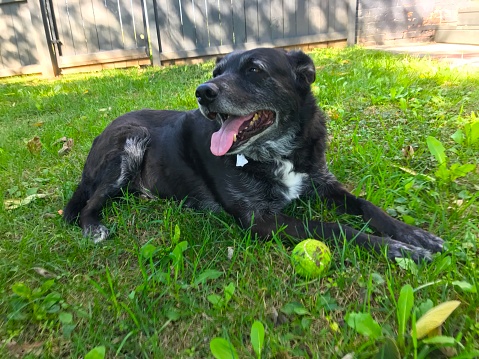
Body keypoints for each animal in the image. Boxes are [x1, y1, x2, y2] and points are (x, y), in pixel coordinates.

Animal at [62, 47, 444, 262]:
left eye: (255, 70)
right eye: (216, 73)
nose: (202, 92)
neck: (277, 151)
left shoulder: (322, 182)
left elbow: (367, 206)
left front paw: (414, 235)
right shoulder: (259, 219)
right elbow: (331, 227)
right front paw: (395, 249)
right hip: (128, 145)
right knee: (89, 202)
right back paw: (93, 227)